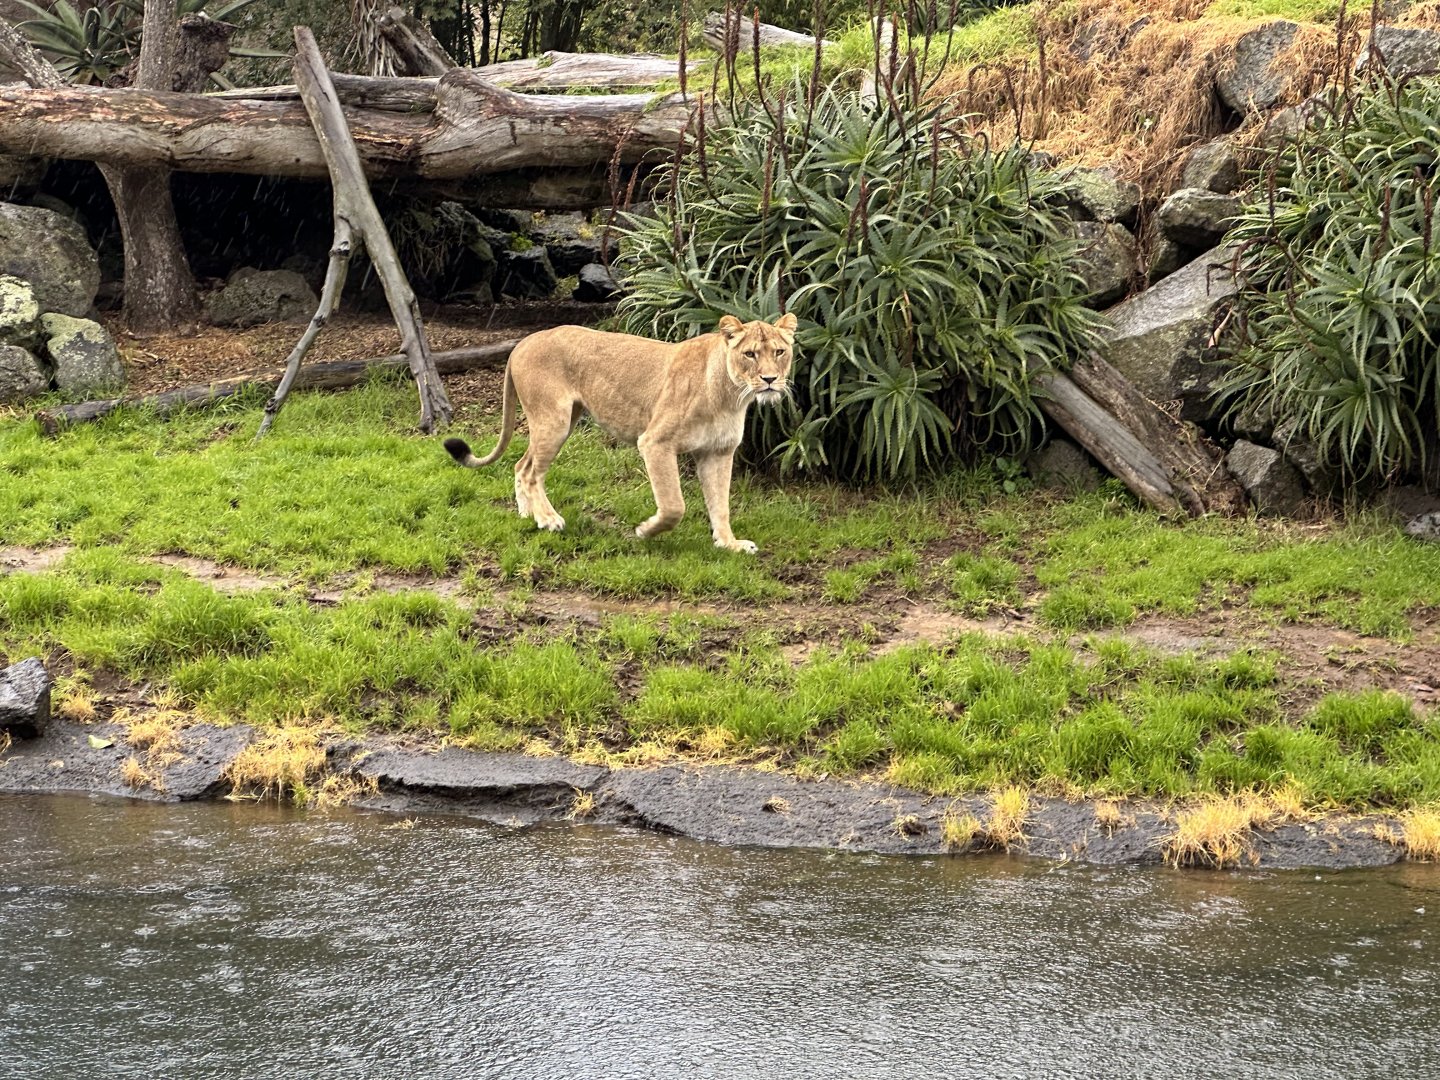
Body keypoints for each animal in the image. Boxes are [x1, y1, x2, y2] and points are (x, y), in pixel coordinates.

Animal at [443, 314, 798, 553]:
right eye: (750, 354)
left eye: (779, 352)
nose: (769, 380)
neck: (730, 394)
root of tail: (523, 342)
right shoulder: (655, 442)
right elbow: (674, 505)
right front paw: (644, 531)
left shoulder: (718, 452)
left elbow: (720, 504)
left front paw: (729, 544)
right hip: (553, 420)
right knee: (531, 471)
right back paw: (548, 519)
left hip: (562, 420)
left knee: (521, 465)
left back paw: (527, 514)